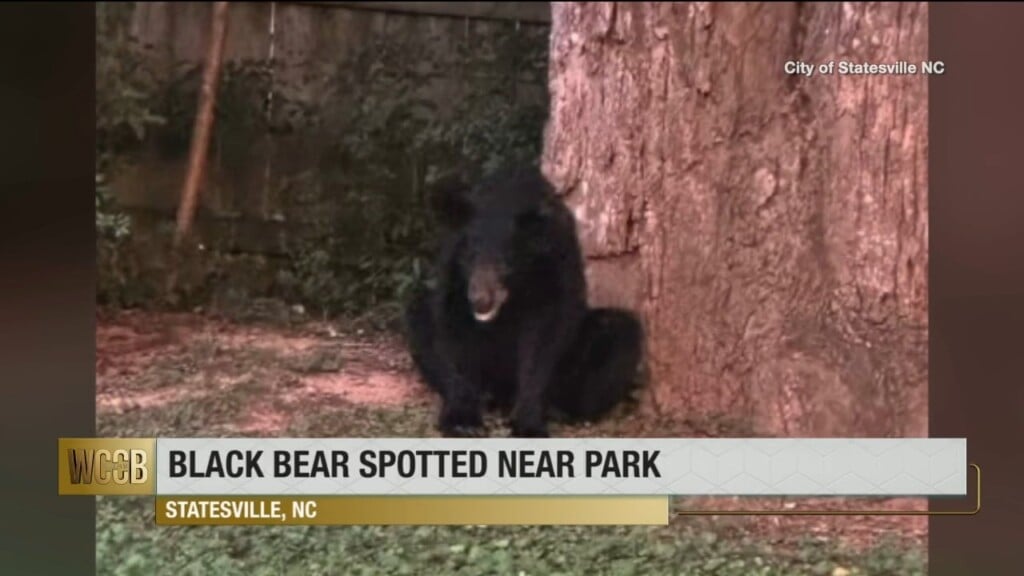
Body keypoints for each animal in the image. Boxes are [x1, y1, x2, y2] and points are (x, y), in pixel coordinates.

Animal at [404, 163, 644, 438]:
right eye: (469, 257)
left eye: (506, 264)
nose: (480, 301)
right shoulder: (452, 272)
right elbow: (450, 330)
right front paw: (462, 421)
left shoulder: (556, 263)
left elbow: (544, 337)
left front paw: (528, 424)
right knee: (418, 314)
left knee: (619, 331)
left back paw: (560, 409)